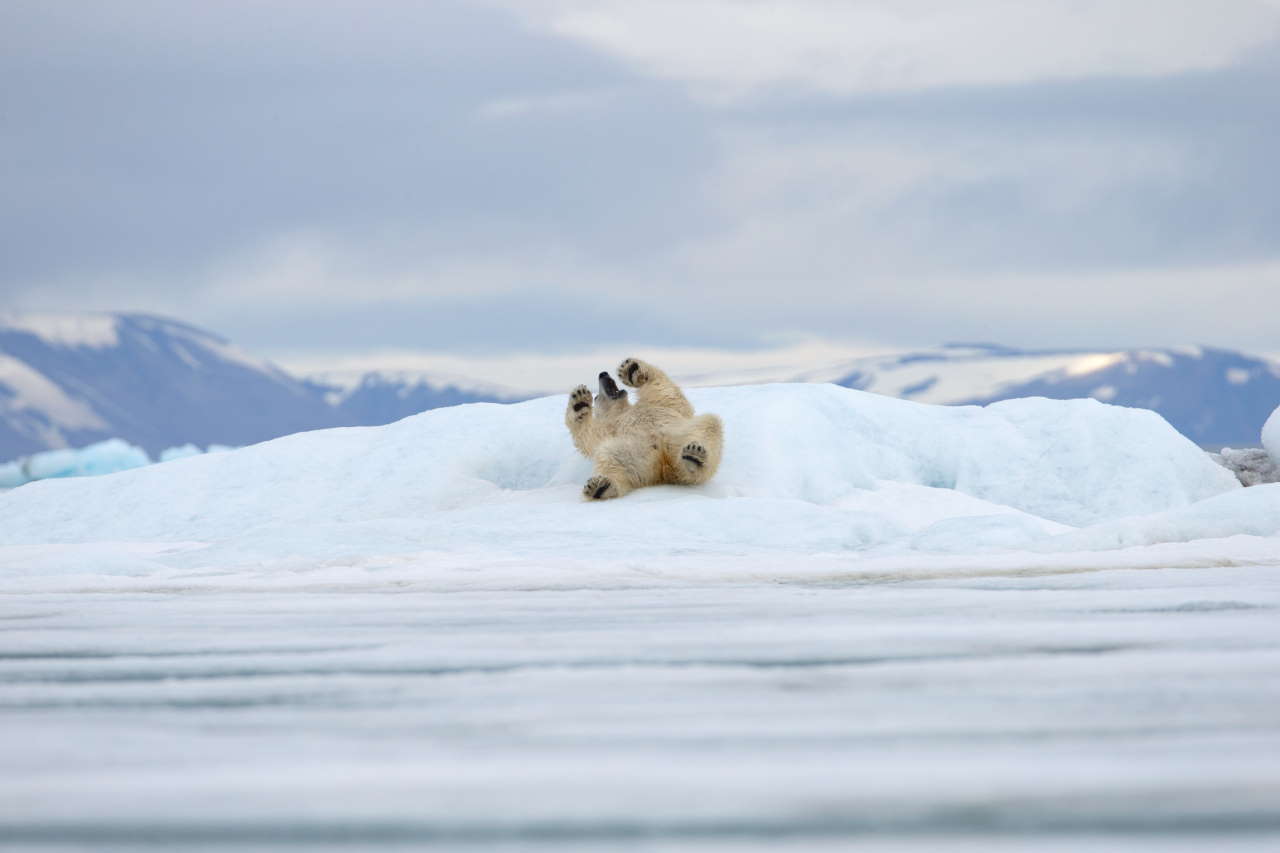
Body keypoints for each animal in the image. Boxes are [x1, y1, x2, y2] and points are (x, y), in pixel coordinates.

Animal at [568, 353, 727, 499]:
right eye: (596, 397)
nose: (603, 374)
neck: (621, 412)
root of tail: (664, 466)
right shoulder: (609, 429)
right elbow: (589, 437)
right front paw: (579, 401)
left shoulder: (658, 405)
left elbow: (667, 393)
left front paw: (630, 368)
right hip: (633, 453)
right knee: (609, 457)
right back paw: (601, 487)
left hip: (679, 435)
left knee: (709, 425)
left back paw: (694, 456)